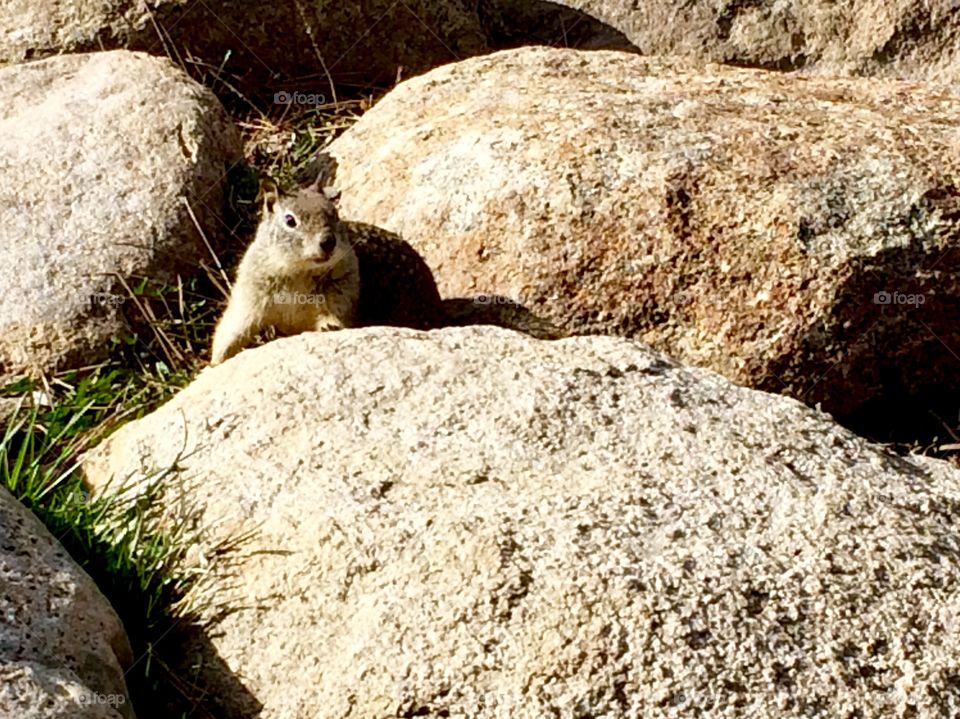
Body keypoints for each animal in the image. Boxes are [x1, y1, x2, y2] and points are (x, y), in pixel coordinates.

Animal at [209, 178, 360, 365]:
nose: (328, 242)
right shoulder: (249, 297)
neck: (299, 271)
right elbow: (233, 329)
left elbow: (334, 313)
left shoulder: (342, 289)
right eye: (290, 220)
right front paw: (215, 361)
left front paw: (330, 326)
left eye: (335, 214)